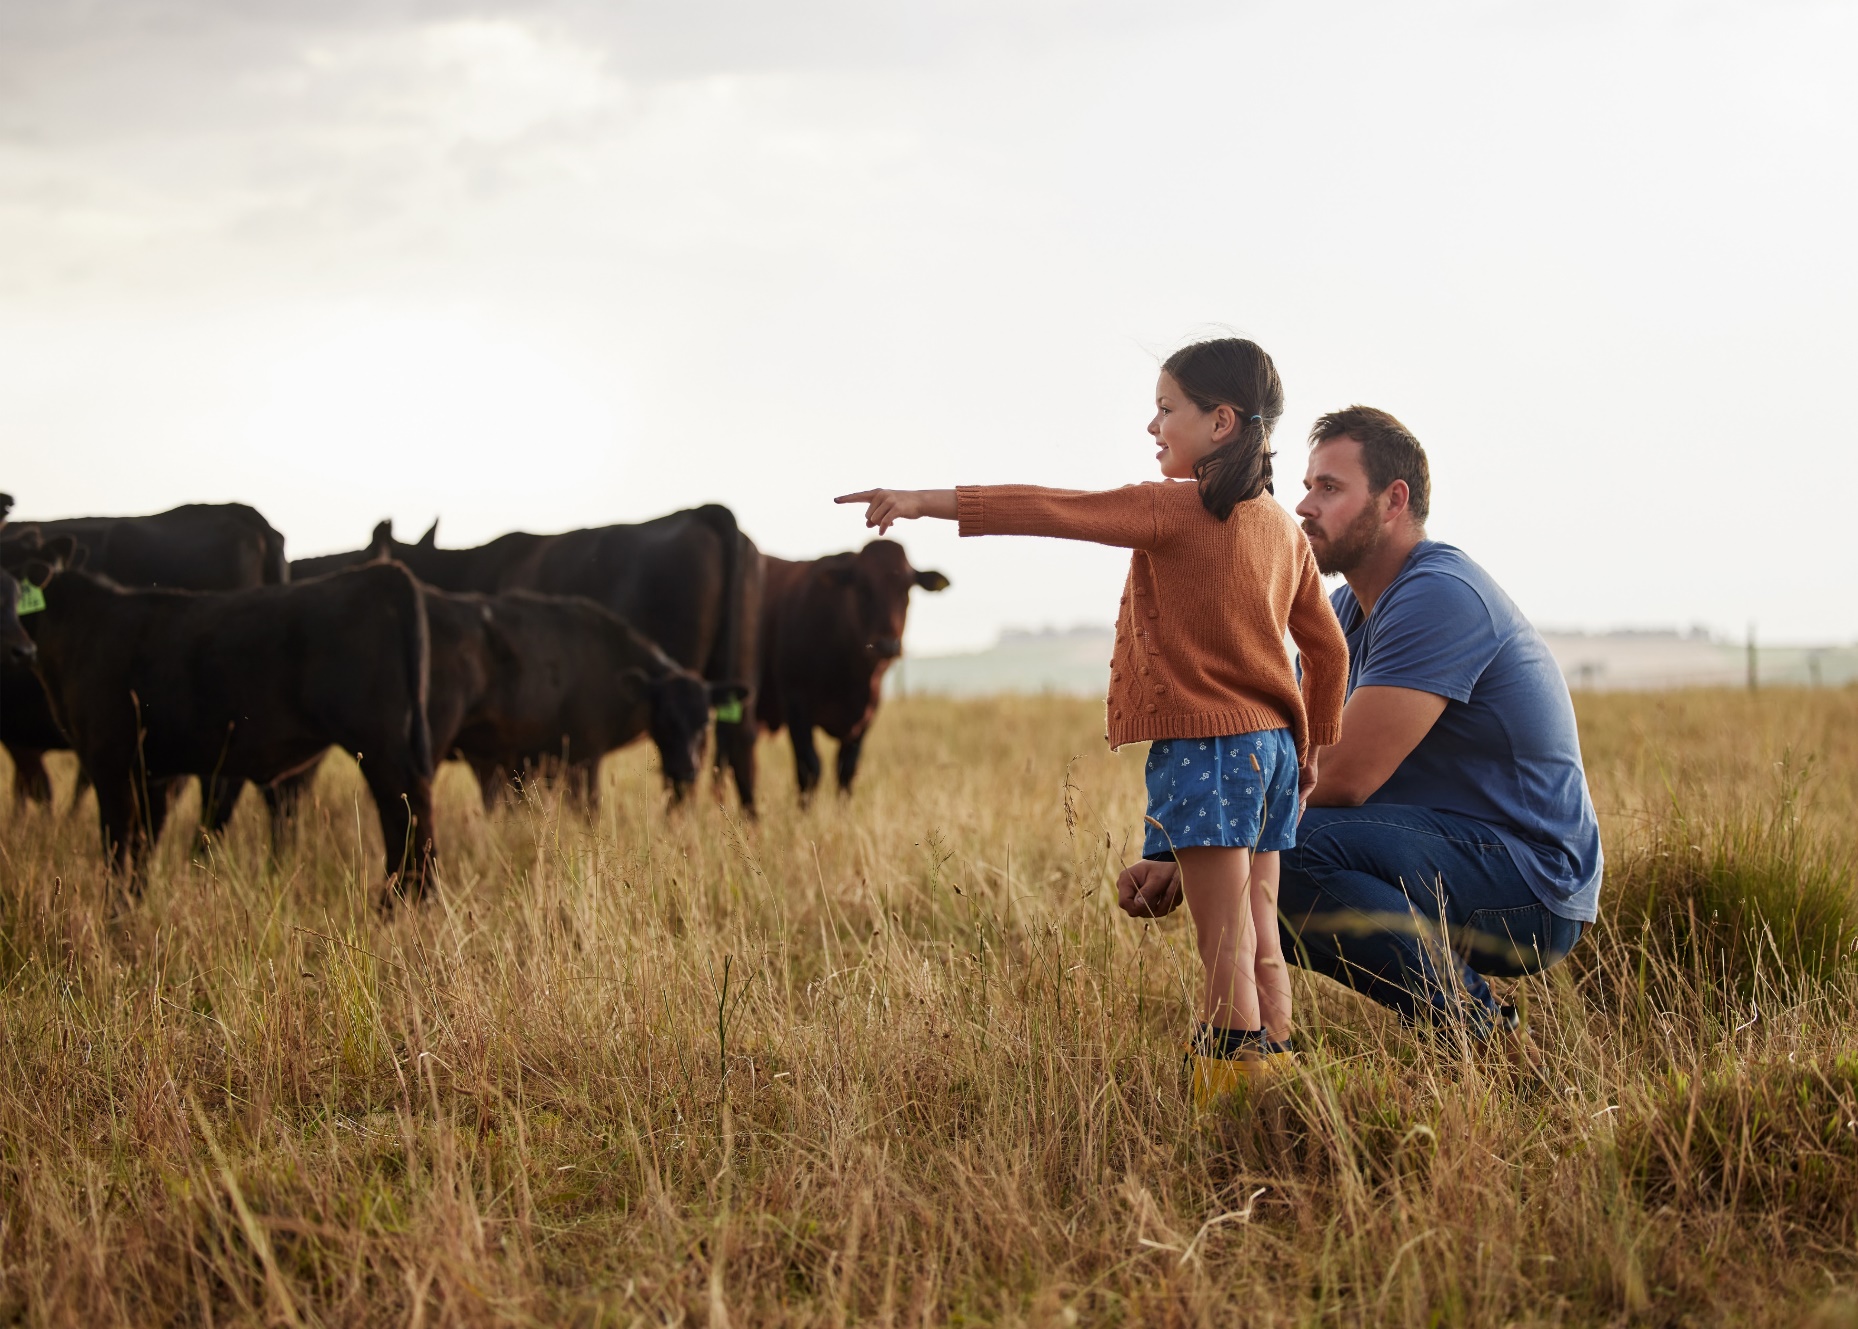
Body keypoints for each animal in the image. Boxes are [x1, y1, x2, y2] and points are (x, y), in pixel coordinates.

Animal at [8, 542, 434, 903]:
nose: (18, 649)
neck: (83, 627)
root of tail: (382, 574)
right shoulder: (152, 772)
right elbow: (144, 844)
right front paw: (134, 905)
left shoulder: (107, 759)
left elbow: (116, 844)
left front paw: (114, 913)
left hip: (378, 743)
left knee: (406, 809)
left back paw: (402, 901)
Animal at [754, 539, 951, 799]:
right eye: (863, 587)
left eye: (906, 589)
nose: (887, 645)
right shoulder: (796, 707)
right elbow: (809, 770)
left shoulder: (866, 716)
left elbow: (846, 772)